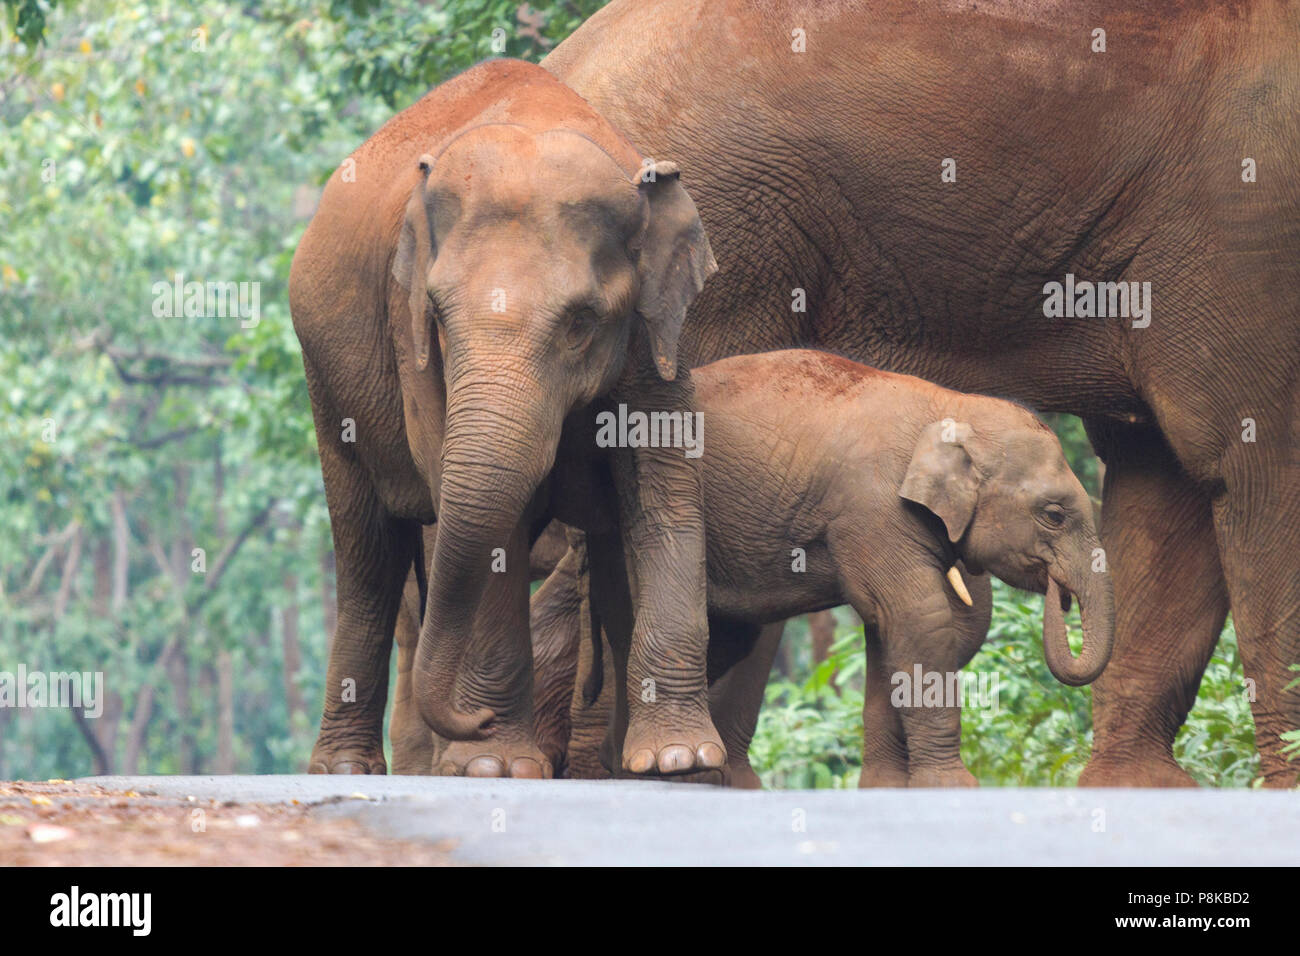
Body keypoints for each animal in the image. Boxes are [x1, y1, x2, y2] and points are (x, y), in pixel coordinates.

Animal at [556, 349, 1113, 788]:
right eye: (1054, 515)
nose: (1057, 593)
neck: (950, 407)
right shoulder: (873, 511)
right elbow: (921, 619)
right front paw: (952, 788)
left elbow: (886, 632)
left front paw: (888, 790)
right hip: (625, 527)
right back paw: (657, 769)